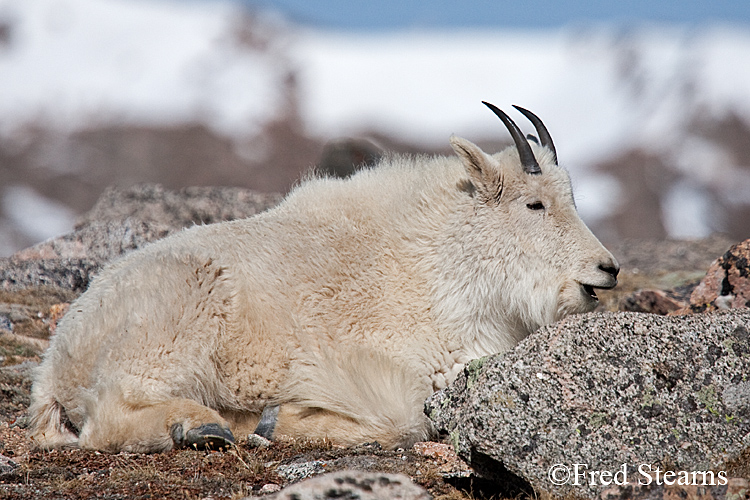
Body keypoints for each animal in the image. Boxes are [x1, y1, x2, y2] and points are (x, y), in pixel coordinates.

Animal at [27, 102, 616, 454]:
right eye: (535, 204)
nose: (606, 269)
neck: (441, 262)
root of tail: (55, 367)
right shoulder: (383, 361)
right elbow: (406, 417)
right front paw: (288, 420)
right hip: (174, 320)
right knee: (109, 416)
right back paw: (200, 426)